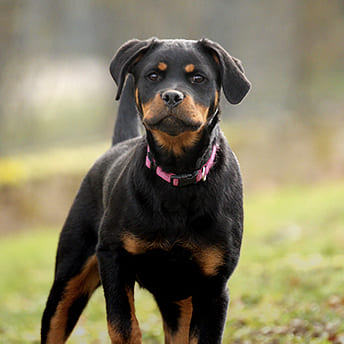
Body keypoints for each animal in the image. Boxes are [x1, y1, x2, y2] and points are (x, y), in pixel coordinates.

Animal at [41, 38, 250, 344]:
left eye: (198, 78)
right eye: (153, 76)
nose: (172, 96)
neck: (177, 174)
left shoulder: (213, 284)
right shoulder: (113, 257)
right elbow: (123, 325)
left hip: (178, 299)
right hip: (69, 278)